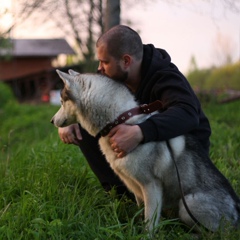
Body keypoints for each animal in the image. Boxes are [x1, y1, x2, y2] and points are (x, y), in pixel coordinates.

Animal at [51, 69, 240, 232]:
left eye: (61, 102)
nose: (52, 121)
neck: (119, 121)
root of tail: (237, 213)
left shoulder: (151, 186)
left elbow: (149, 221)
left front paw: (146, 234)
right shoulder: (135, 186)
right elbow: (141, 211)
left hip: (188, 204)